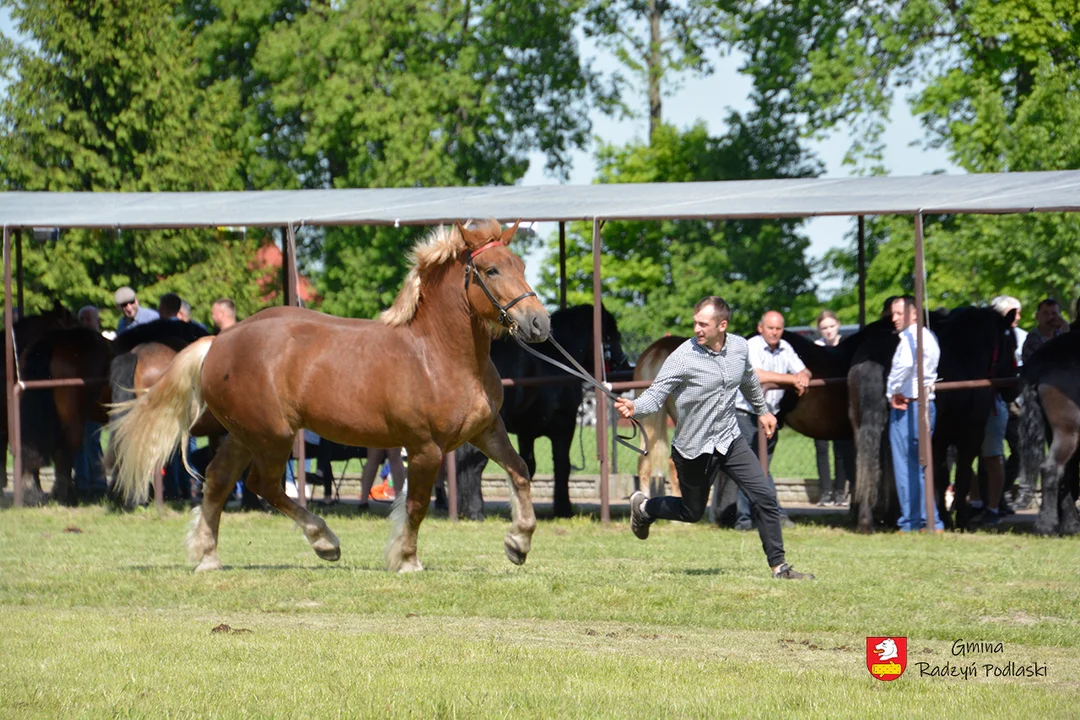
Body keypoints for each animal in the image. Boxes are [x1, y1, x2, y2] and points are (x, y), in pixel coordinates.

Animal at [107, 220, 551, 573]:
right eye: (491, 269)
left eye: (522, 266)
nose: (539, 323)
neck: (438, 355)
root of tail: (219, 341)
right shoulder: (424, 447)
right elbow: (417, 505)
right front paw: (407, 560)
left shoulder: (486, 431)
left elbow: (519, 472)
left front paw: (518, 543)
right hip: (273, 436)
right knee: (263, 485)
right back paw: (324, 541)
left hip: (243, 435)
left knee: (217, 481)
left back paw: (209, 557)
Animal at [453, 304, 629, 519]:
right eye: (612, 336)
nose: (624, 366)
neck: (556, 360)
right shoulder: (564, 427)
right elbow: (562, 466)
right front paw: (563, 508)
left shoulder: (526, 432)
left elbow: (527, 465)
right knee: (474, 464)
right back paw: (475, 511)